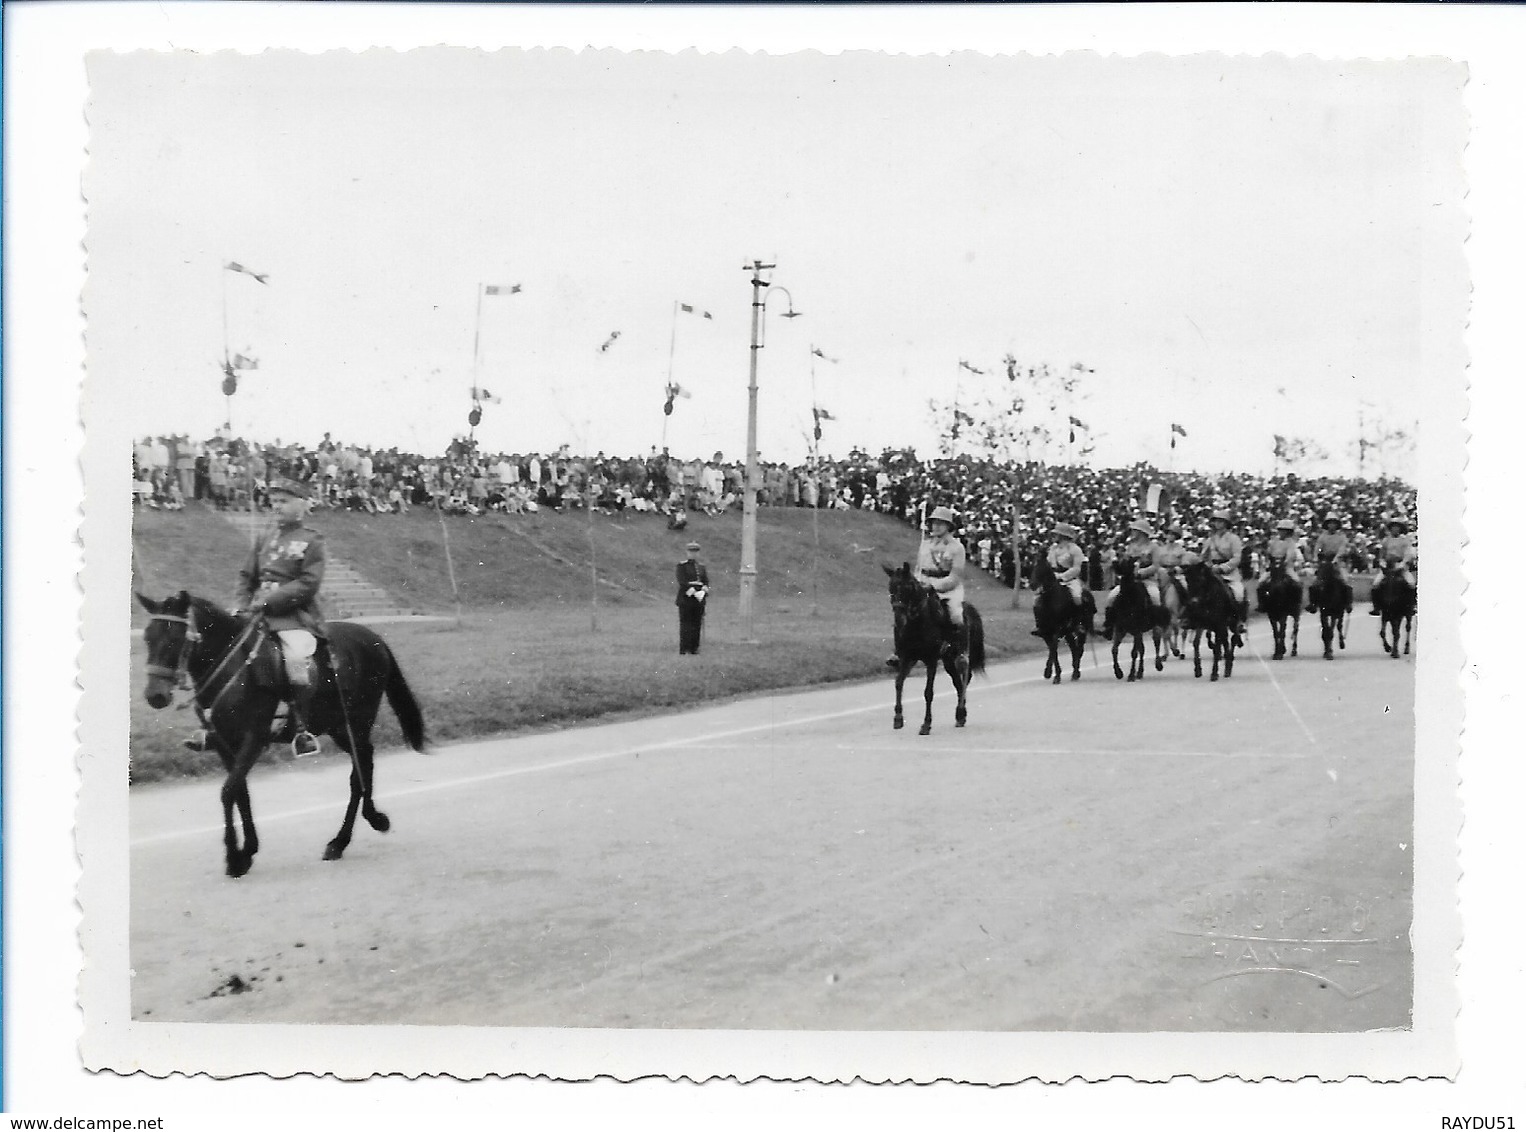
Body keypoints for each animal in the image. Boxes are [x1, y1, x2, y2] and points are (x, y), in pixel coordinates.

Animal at [138, 594, 427, 878]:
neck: (232, 668)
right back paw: (362, 826)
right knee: (365, 760)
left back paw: (345, 838)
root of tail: (373, 637)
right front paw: (247, 851)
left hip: (356, 722)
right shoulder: (224, 744)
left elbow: (228, 792)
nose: (155, 695)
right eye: (148, 637)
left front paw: (233, 858)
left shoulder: (253, 739)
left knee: (359, 772)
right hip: (338, 727)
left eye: (174, 638)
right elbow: (240, 792)